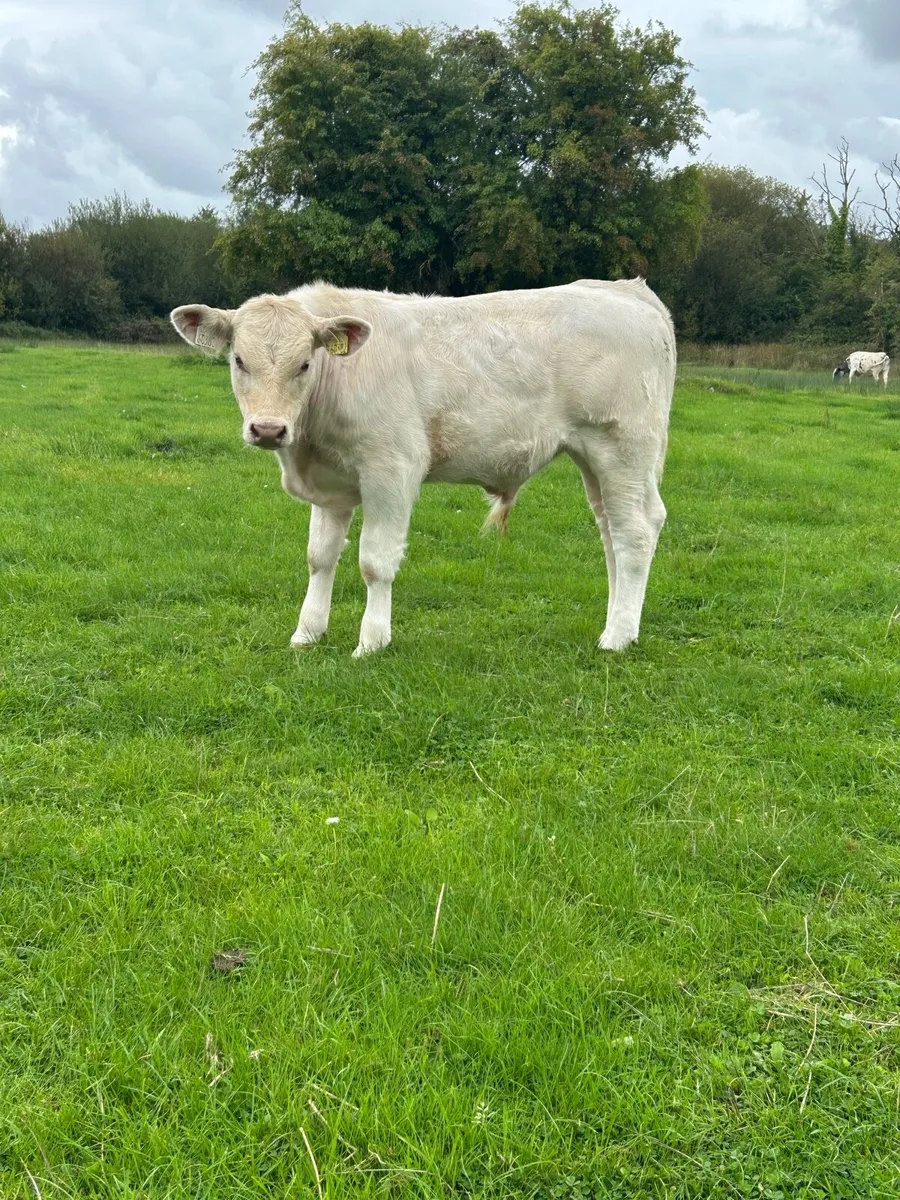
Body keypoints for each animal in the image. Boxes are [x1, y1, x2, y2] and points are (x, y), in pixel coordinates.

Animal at [170, 279, 675, 657]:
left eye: (305, 363)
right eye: (239, 360)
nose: (269, 429)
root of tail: (627, 290)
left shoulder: (391, 469)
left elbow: (374, 561)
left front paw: (372, 641)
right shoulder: (332, 484)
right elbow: (320, 557)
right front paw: (307, 632)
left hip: (623, 446)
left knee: (635, 531)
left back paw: (617, 636)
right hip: (594, 456)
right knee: (611, 533)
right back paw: (620, 622)